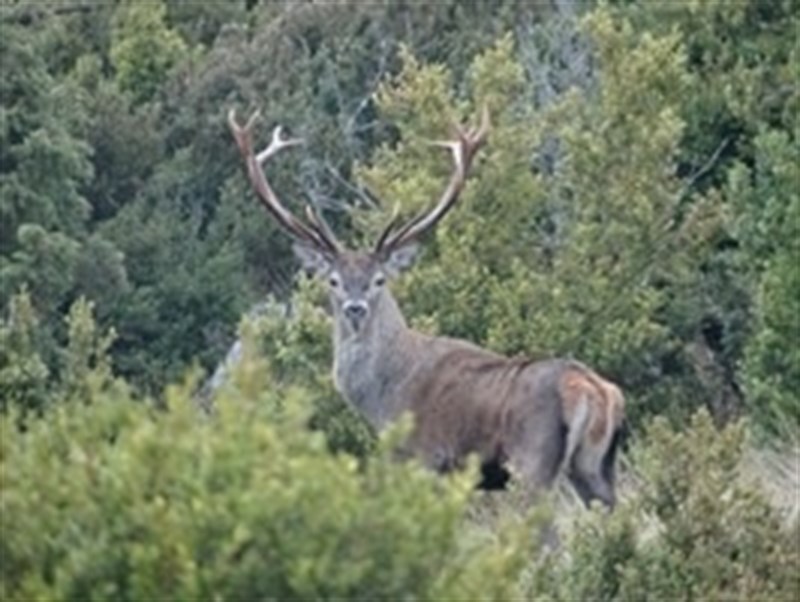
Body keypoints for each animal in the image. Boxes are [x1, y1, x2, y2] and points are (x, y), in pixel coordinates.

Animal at [228, 107, 625, 508]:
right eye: (333, 281)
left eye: (379, 280)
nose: (355, 309)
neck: (382, 398)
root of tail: (595, 391)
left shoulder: (423, 457)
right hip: (597, 468)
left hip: (532, 462)